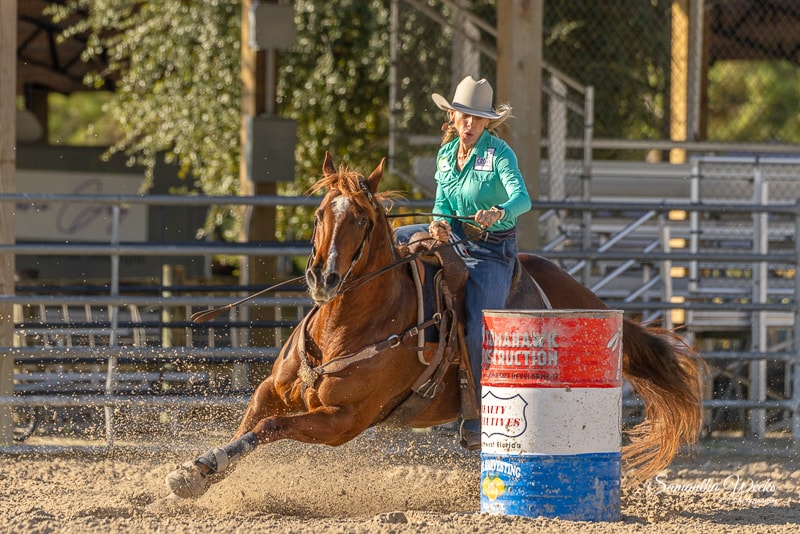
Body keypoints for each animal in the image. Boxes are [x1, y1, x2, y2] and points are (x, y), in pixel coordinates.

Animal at [165, 152, 704, 499]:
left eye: (362, 219)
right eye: (320, 213)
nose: (324, 278)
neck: (344, 327)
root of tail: (579, 293)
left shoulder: (341, 422)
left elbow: (270, 427)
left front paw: (198, 472)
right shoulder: (274, 391)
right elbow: (251, 424)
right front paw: (196, 473)